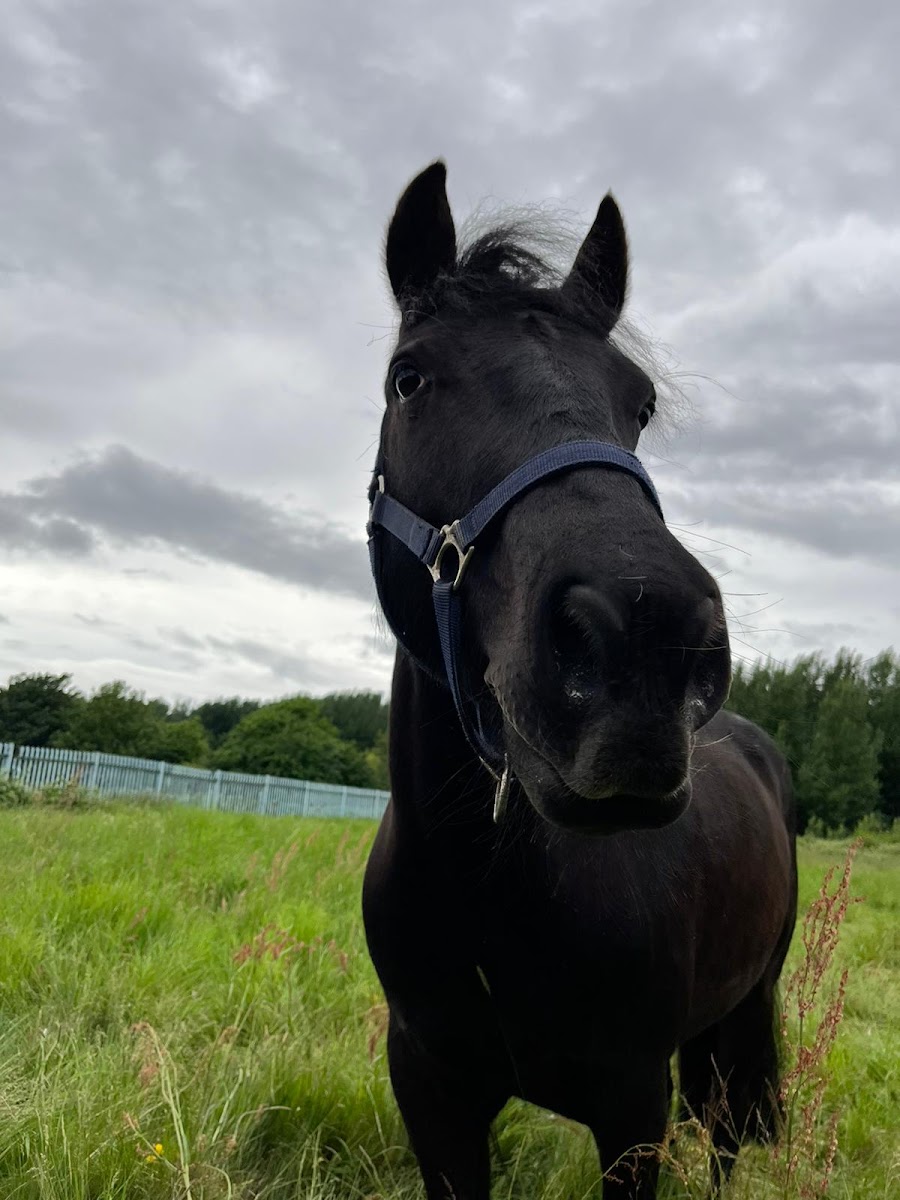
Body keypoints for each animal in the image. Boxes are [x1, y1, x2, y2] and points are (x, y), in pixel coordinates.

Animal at [362, 161, 797, 1200]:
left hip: (746, 1008)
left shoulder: (633, 1107)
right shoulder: (430, 1090)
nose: (645, 640)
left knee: (727, 1129)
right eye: (410, 378)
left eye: (638, 404)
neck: (481, 887)